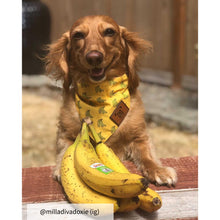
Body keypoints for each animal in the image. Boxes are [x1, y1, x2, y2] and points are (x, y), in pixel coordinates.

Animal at [45, 15, 177, 186]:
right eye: (78, 35)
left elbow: (147, 156)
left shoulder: (140, 136)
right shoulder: (64, 135)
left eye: (109, 31)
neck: (101, 94)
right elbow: (65, 150)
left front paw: (158, 170)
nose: (94, 57)